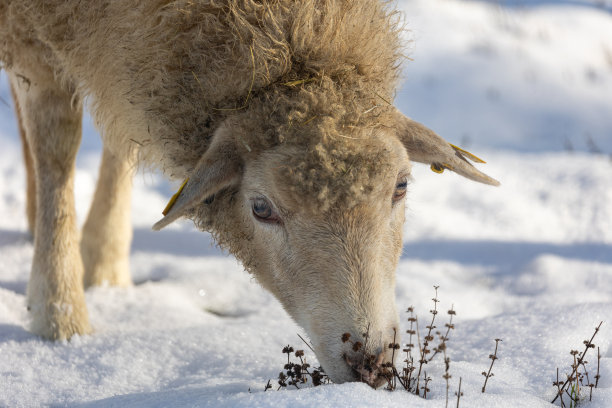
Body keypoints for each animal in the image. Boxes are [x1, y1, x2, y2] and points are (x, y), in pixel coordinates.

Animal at [0, 0, 498, 388]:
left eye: (401, 186)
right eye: (261, 208)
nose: (370, 362)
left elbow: (121, 139)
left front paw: (104, 268)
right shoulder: (33, 32)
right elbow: (57, 147)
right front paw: (60, 319)